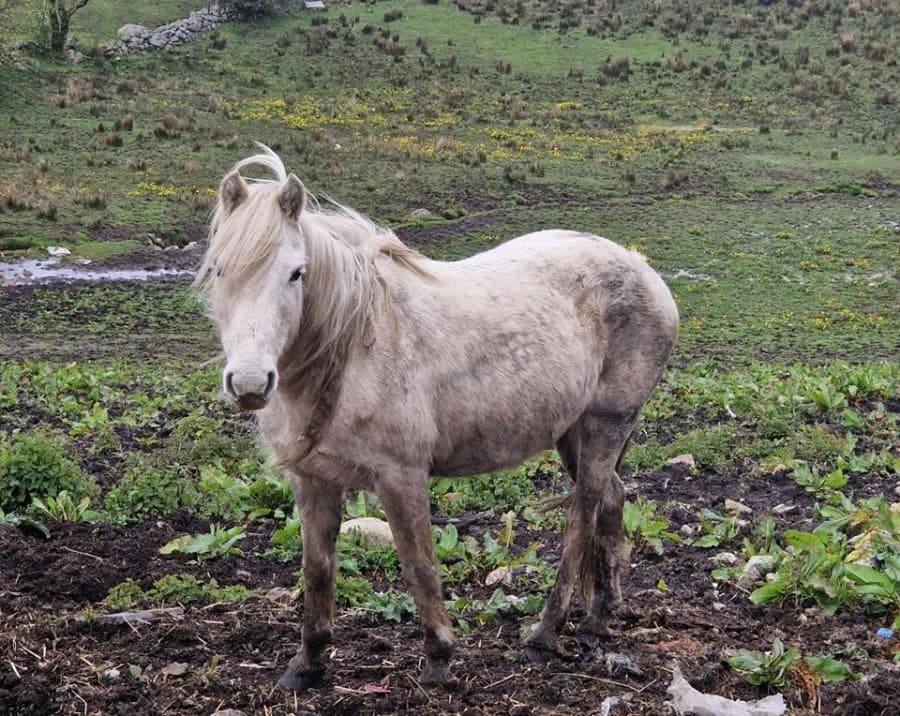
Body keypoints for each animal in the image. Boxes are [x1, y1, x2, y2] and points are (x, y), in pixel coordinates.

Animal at [196, 145, 679, 690]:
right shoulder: (312, 479)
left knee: (582, 517)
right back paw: (600, 617)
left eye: (297, 272)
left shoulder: (401, 476)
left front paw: (439, 658)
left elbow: (418, 565)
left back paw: (544, 634)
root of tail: (643, 269)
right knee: (611, 501)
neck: (351, 348)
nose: (250, 384)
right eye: (218, 270)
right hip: (572, 434)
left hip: (605, 424)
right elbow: (317, 570)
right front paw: (307, 663)